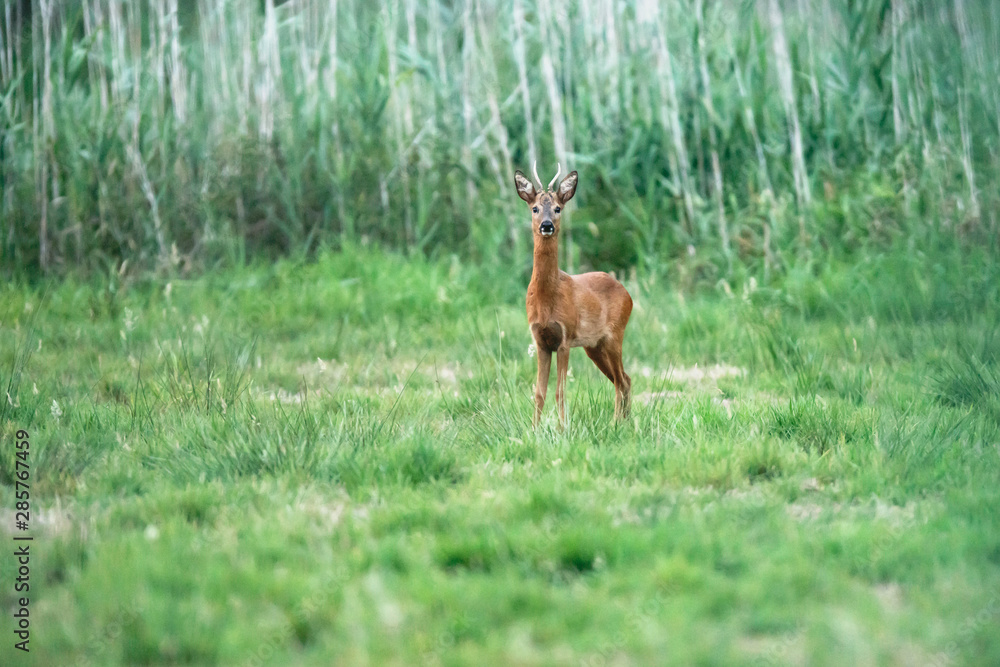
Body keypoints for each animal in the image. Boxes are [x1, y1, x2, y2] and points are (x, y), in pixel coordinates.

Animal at [516, 164, 632, 430]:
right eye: (535, 208)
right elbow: (539, 392)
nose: (547, 225)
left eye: (558, 208)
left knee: (622, 381)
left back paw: (616, 423)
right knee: (624, 379)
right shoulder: (540, 340)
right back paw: (626, 422)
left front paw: (562, 429)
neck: (547, 300)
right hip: (594, 346)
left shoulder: (565, 338)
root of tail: (627, 293)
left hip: (614, 335)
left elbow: (560, 391)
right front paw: (534, 430)